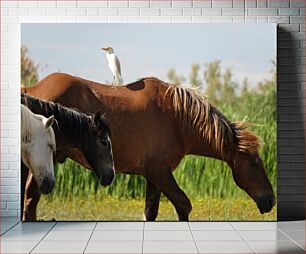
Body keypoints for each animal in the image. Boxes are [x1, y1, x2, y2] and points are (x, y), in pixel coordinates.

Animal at [22, 73, 276, 220]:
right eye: (254, 163)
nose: (271, 200)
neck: (177, 118)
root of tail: (30, 91)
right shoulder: (160, 173)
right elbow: (183, 205)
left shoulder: (153, 176)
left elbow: (151, 212)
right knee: (31, 200)